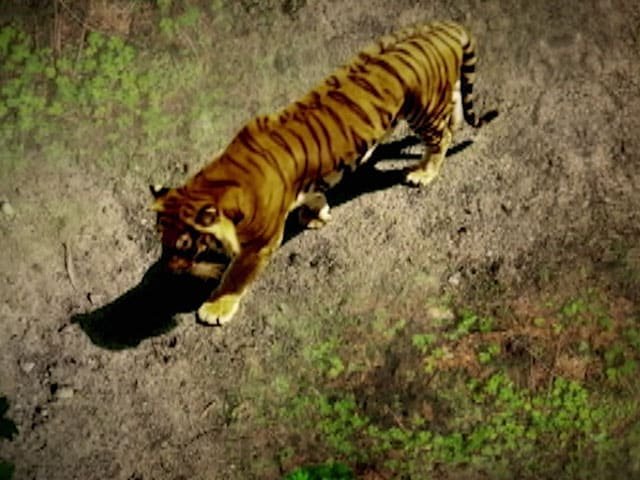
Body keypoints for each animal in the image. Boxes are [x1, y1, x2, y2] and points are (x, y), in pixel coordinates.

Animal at [151, 21, 497, 326]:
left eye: (183, 244)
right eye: (160, 236)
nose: (167, 270)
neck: (215, 183)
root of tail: (443, 28)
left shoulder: (259, 244)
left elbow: (235, 275)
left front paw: (215, 307)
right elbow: (314, 193)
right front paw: (316, 216)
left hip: (423, 109)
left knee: (441, 138)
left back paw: (423, 172)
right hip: (438, 98)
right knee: (452, 115)